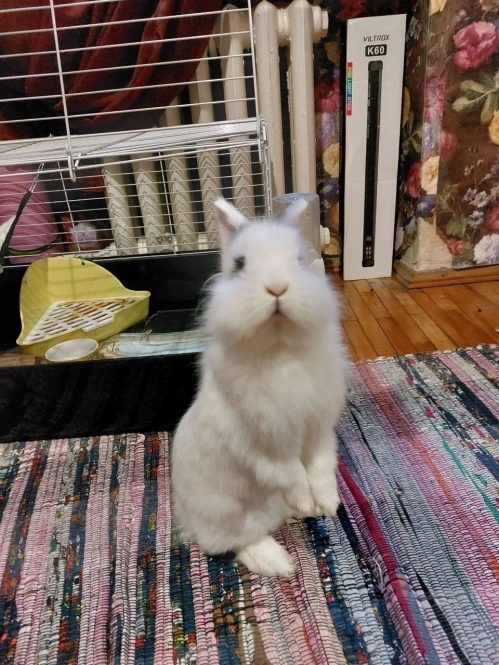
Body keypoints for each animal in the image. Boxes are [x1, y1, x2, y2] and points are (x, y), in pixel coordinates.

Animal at [171, 197, 349, 577]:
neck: (280, 349)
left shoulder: (317, 429)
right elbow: (290, 473)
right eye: (239, 264)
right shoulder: (263, 443)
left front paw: (327, 504)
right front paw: (307, 502)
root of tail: (186, 517)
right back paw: (279, 562)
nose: (277, 287)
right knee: (231, 542)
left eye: (299, 259)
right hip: (225, 511)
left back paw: (297, 516)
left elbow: (320, 466)